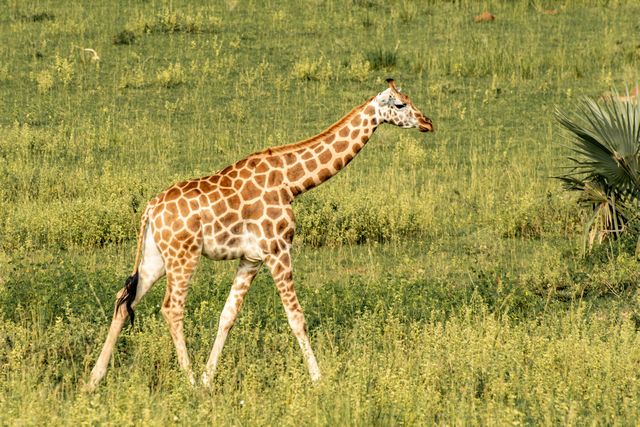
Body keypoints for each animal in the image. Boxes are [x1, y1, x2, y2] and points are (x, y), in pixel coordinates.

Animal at [86, 77, 436, 392]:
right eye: (401, 104)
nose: (428, 122)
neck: (292, 182)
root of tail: (150, 209)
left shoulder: (251, 259)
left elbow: (227, 315)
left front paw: (209, 379)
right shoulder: (278, 249)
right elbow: (297, 317)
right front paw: (319, 379)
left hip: (155, 257)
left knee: (123, 299)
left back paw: (94, 379)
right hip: (183, 255)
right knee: (171, 308)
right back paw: (187, 381)